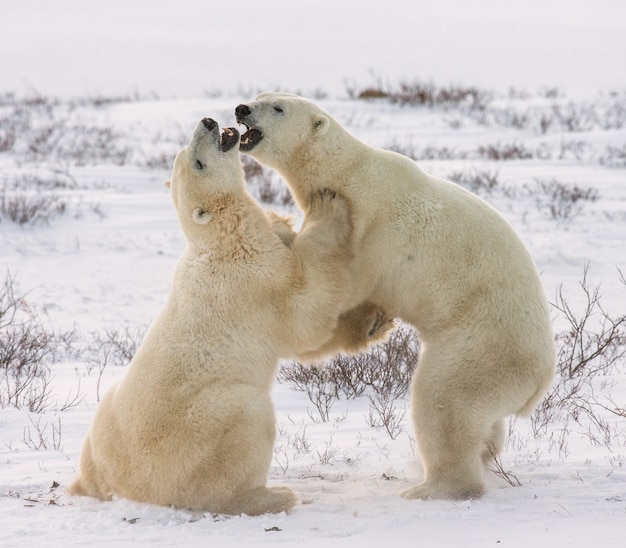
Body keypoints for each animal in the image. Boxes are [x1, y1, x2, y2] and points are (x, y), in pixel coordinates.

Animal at [69, 117, 390, 516]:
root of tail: (121, 487)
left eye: (184, 152)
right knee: (246, 423)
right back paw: (273, 495)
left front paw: (377, 321)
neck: (221, 238)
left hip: (107, 417)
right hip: (199, 432)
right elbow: (305, 312)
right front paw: (327, 205)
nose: (207, 122)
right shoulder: (255, 277)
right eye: (197, 162)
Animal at [235, 94, 556, 500]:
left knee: (444, 400)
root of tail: (540, 381)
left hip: (482, 347)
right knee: (484, 423)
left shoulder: (373, 232)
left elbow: (334, 289)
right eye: (259, 97)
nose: (242, 109)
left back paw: (433, 487)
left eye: (277, 107)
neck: (347, 173)